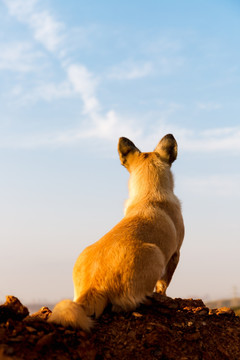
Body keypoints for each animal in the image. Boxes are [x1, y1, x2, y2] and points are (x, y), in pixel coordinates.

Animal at [48, 135, 184, 332]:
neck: (148, 194)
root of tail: (94, 287)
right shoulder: (175, 254)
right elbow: (164, 283)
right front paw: (164, 295)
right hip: (156, 254)